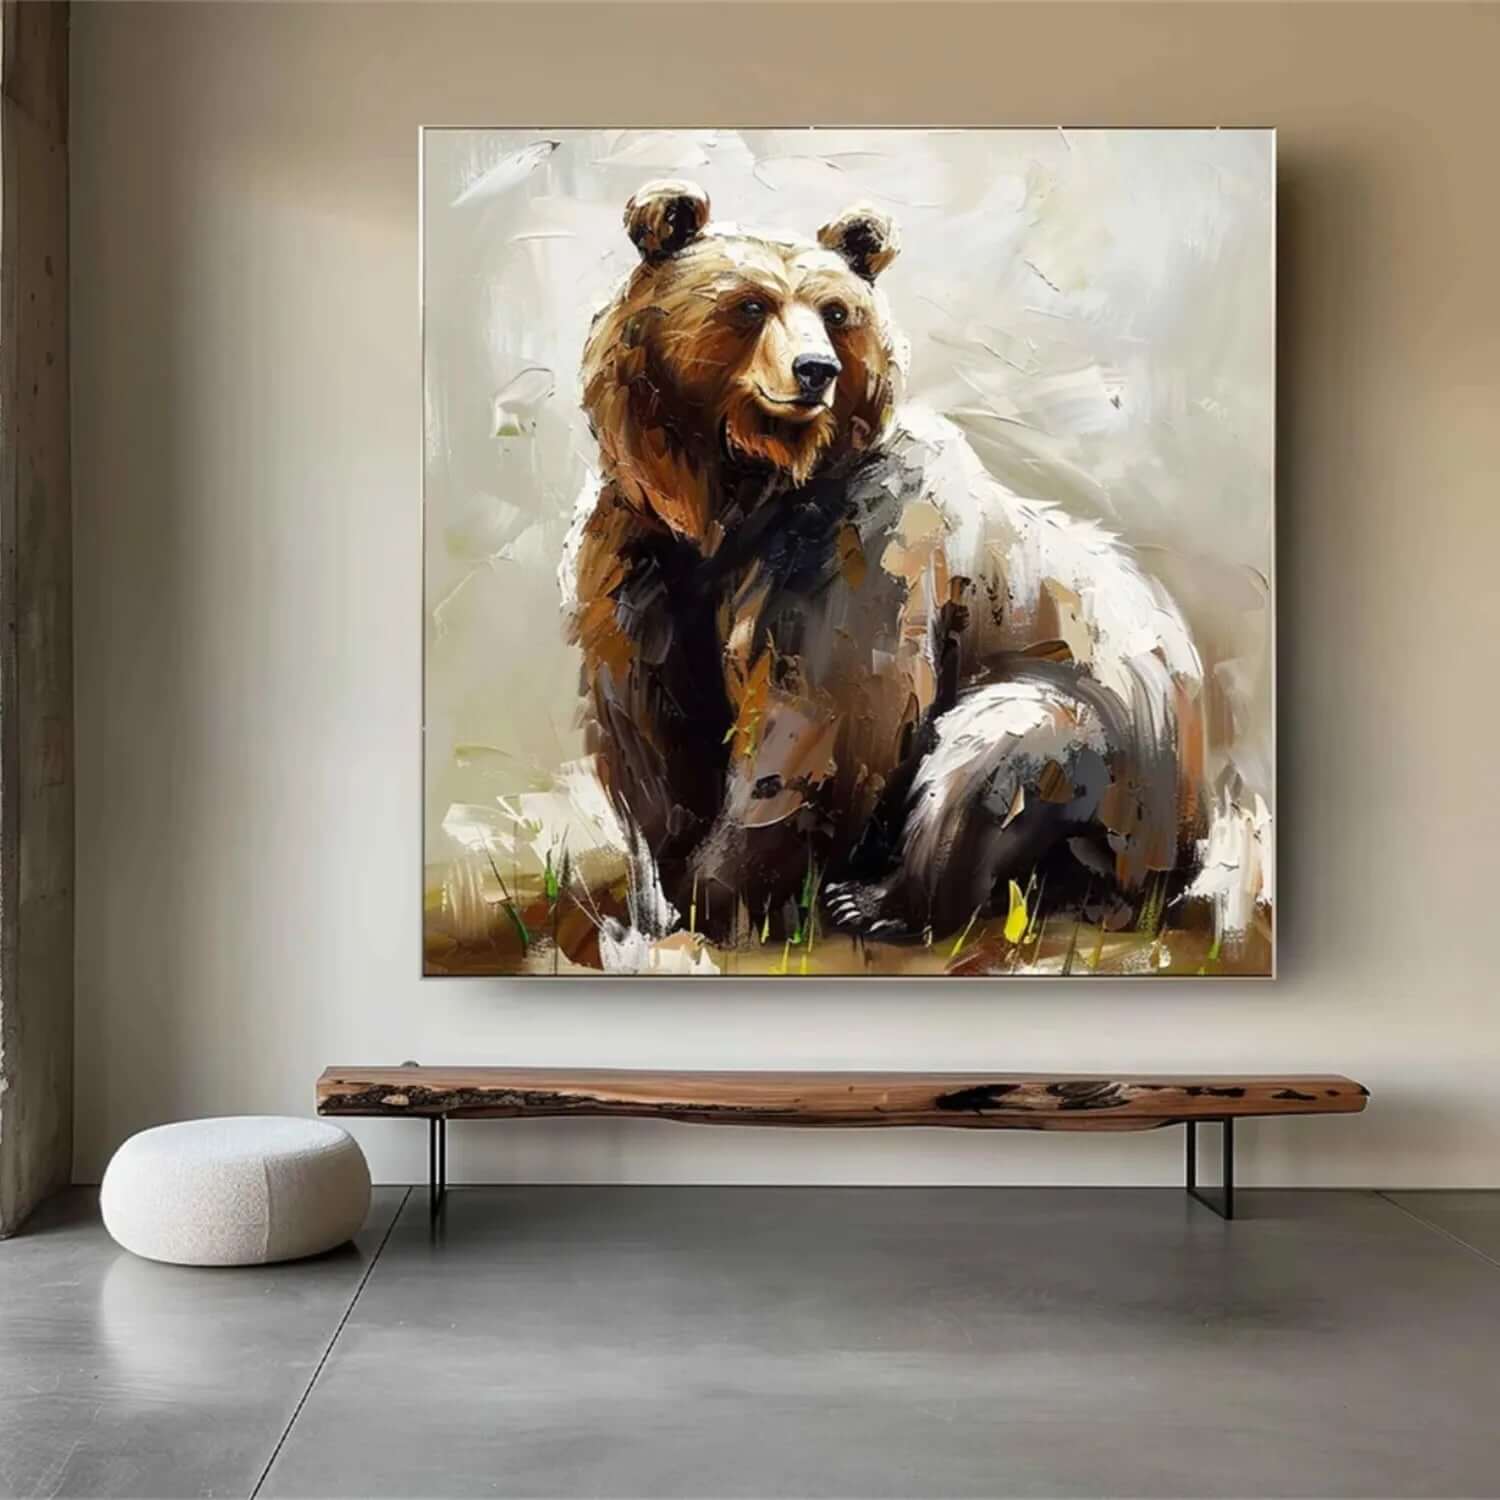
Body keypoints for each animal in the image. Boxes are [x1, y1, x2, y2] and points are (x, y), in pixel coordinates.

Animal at [561, 179, 1206, 944]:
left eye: (835, 312)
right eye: (750, 304)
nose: (816, 370)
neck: (734, 492)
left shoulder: (854, 549)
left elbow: (820, 716)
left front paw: (726, 895)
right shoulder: (642, 556)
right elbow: (651, 722)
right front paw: (660, 896)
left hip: (1103, 748)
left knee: (984, 759)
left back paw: (877, 901)